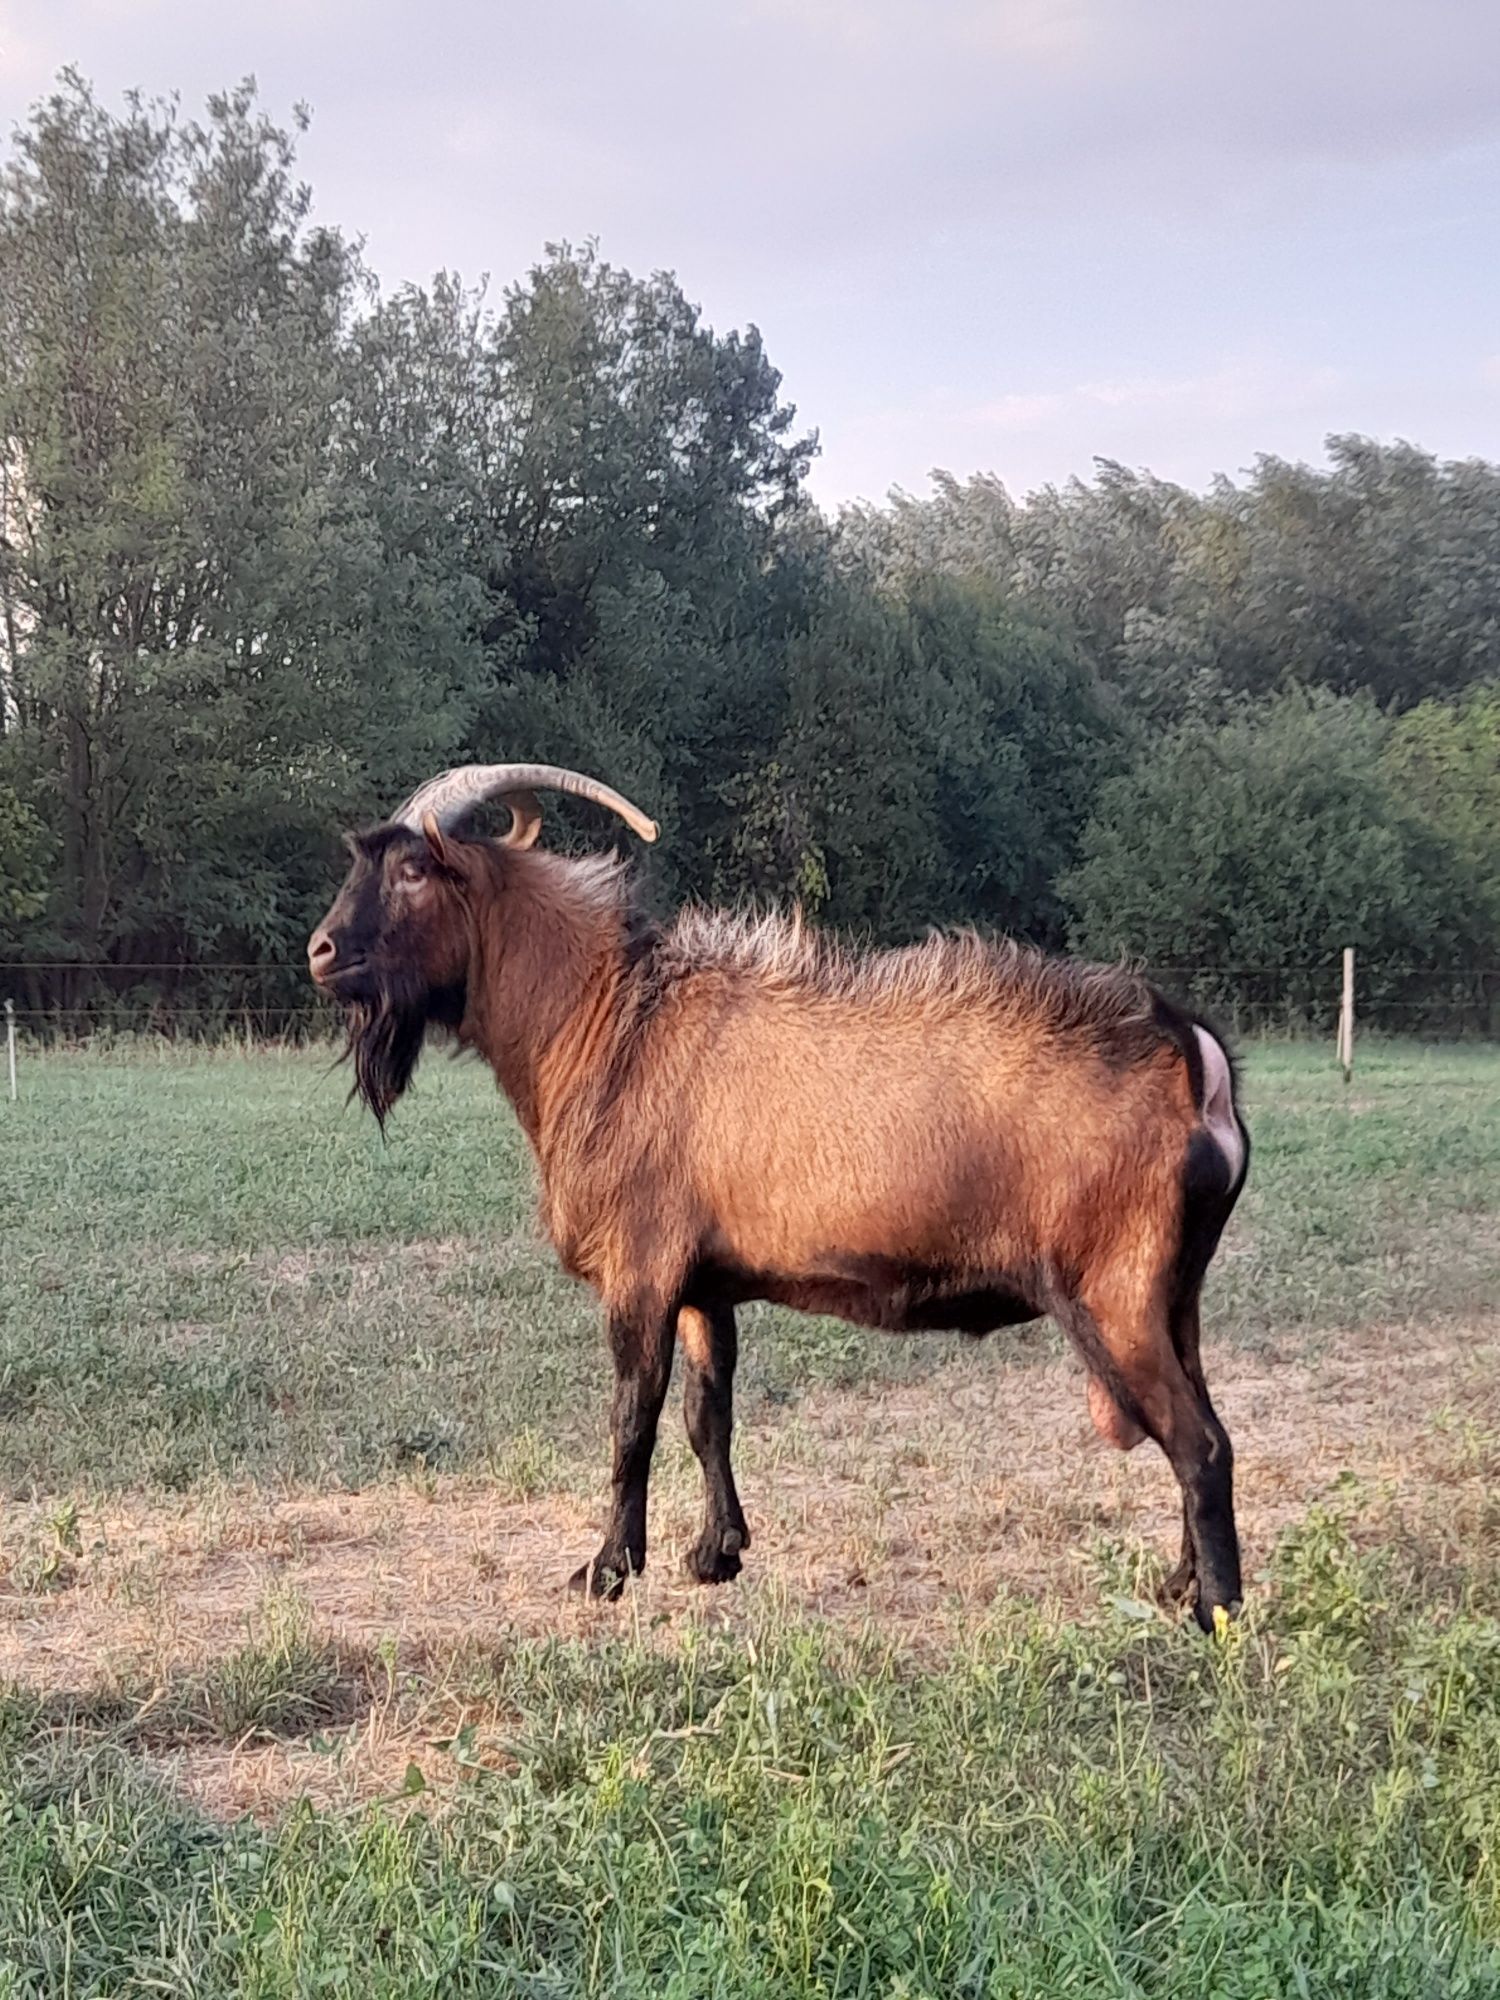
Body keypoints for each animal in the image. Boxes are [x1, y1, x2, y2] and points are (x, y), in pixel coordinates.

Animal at [312, 760, 1248, 1624]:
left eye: (413, 869)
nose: (321, 951)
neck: (602, 1022)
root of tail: (1195, 1056)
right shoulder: (703, 1283)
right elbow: (707, 1414)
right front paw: (715, 1553)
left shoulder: (640, 1270)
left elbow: (631, 1418)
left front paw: (607, 1570)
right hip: (1175, 1295)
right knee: (1197, 1423)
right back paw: (1177, 1585)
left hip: (1113, 1292)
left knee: (1199, 1444)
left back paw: (1216, 1613)